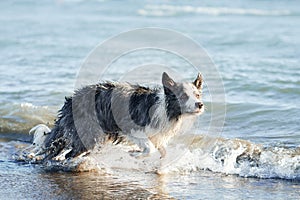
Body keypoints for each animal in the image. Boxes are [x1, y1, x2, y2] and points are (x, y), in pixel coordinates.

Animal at [31, 72, 204, 162]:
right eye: (183, 96)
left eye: (197, 94)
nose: (200, 104)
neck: (166, 109)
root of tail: (69, 102)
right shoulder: (129, 126)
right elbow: (150, 148)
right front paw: (135, 154)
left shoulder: (156, 136)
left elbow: (161, 151)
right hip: (90, 133)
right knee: (71, 153)